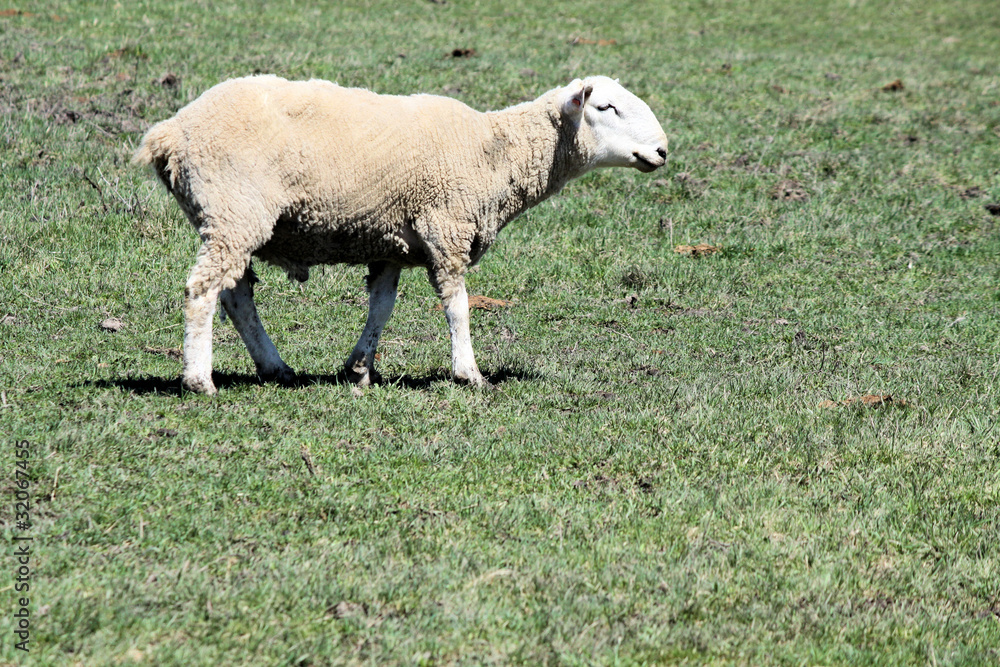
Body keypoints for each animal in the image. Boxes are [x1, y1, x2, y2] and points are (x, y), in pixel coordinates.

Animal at [133, 75, 668, 394]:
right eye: (607, 107)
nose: (663, 150)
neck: (494, 152)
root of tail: (172, 131)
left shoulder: (390, 241)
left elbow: (381, 308)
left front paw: (359, 368)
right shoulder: (446, 226)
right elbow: (457, 306)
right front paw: (469, 373)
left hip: (231, 218)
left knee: (236, 295)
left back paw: (274, 366)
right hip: (234, 209)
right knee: (203, 290)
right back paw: (199, 380)